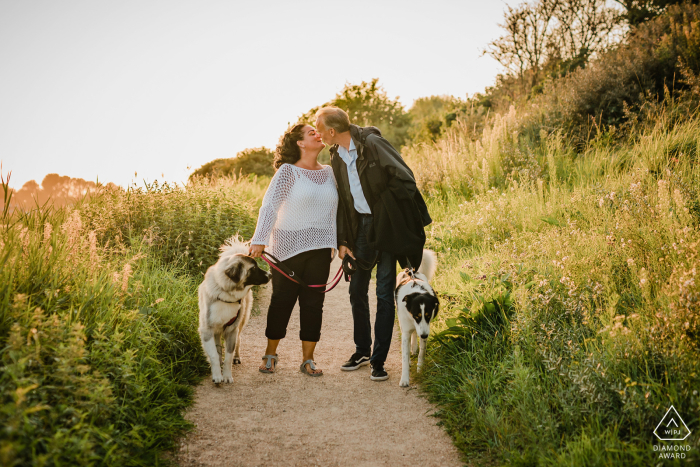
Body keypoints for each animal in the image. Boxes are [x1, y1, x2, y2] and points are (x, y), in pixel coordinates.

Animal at [394, 250, 438, 390]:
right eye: (417, 315)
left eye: (428, 315)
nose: (424, 335)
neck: (416, 291)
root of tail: (411, 271)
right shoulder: (407, 329)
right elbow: (404, 356)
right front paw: (404, 379)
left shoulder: (425, 328)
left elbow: (422, 352)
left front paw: (420, 369)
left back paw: (414, 348)